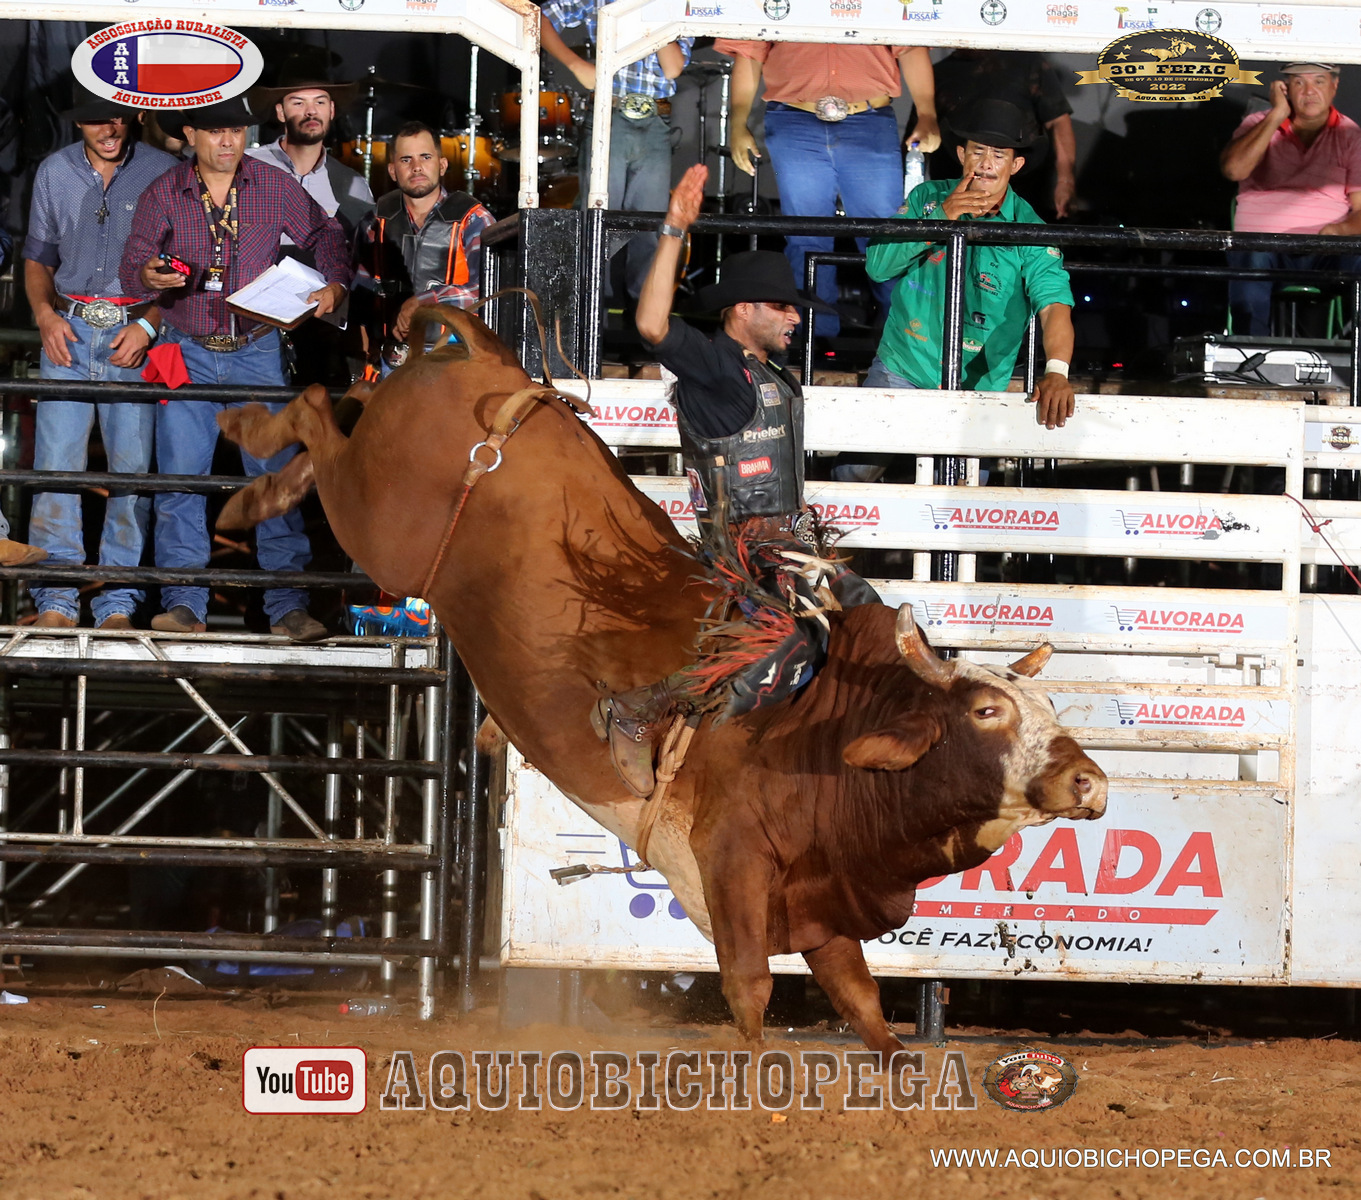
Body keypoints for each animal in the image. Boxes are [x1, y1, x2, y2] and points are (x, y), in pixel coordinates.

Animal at [216, 306, 1107, 1058]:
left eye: (1048, 705)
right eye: (986, 709)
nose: (1088, 780)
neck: (826, 729)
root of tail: (490, 362)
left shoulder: (822, 903)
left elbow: (864, 1009)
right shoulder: (732, 866)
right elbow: (748, 991)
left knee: (343, 399)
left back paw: (257, 485)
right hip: (382, 524)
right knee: (315, 412)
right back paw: (245, 460)